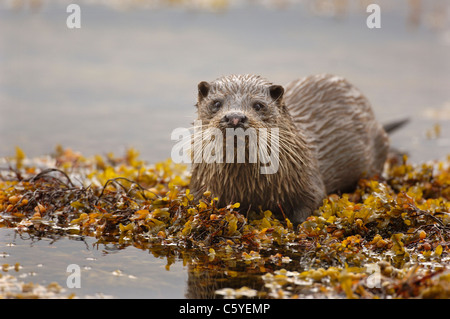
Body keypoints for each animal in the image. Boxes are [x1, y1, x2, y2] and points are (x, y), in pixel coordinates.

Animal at [189, 74, 390, 225]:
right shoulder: (200, 186)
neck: (248, 188)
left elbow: (309, 205)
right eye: (216, 103)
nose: (235, 117)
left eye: (258, 105)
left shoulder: (309, 181)